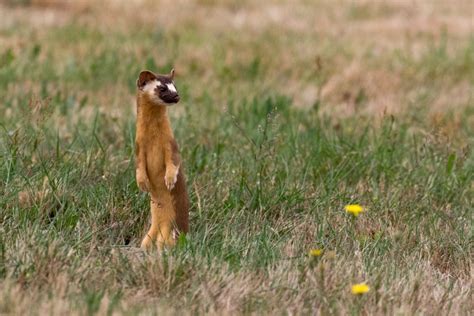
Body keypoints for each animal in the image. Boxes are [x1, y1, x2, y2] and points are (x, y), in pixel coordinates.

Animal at [135, 68, 189, 249]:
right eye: (162, 88)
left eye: (175, 86)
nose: (177, 96)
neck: (153, 139)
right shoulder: (138, 148)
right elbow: (139, 167)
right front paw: (143, 183)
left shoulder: (171, 145)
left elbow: (173, 162)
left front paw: (170, 180)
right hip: (151, 233)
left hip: (172, 232)